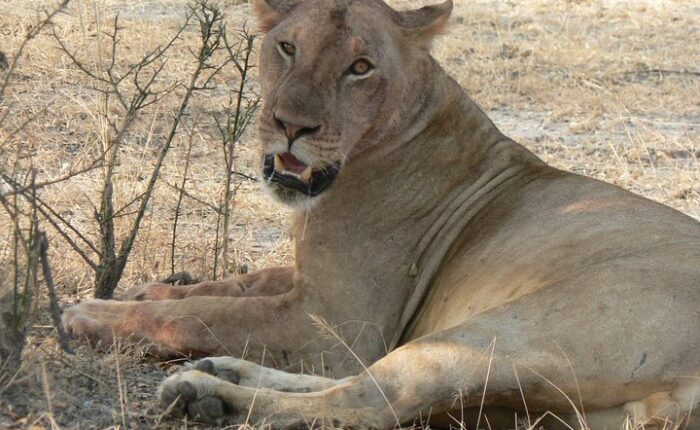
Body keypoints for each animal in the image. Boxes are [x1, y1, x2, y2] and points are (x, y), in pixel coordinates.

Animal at [62, 0, 700, 428]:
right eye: (288, 47)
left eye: (361, 67)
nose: (291, 125)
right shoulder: (310, 282)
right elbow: (235, 285)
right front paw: (145, 290)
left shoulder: (339, 322)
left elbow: (209, 312)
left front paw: (92, 313)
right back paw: (224, 374)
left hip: (500, 335)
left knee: (368, 401)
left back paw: (206, 395)